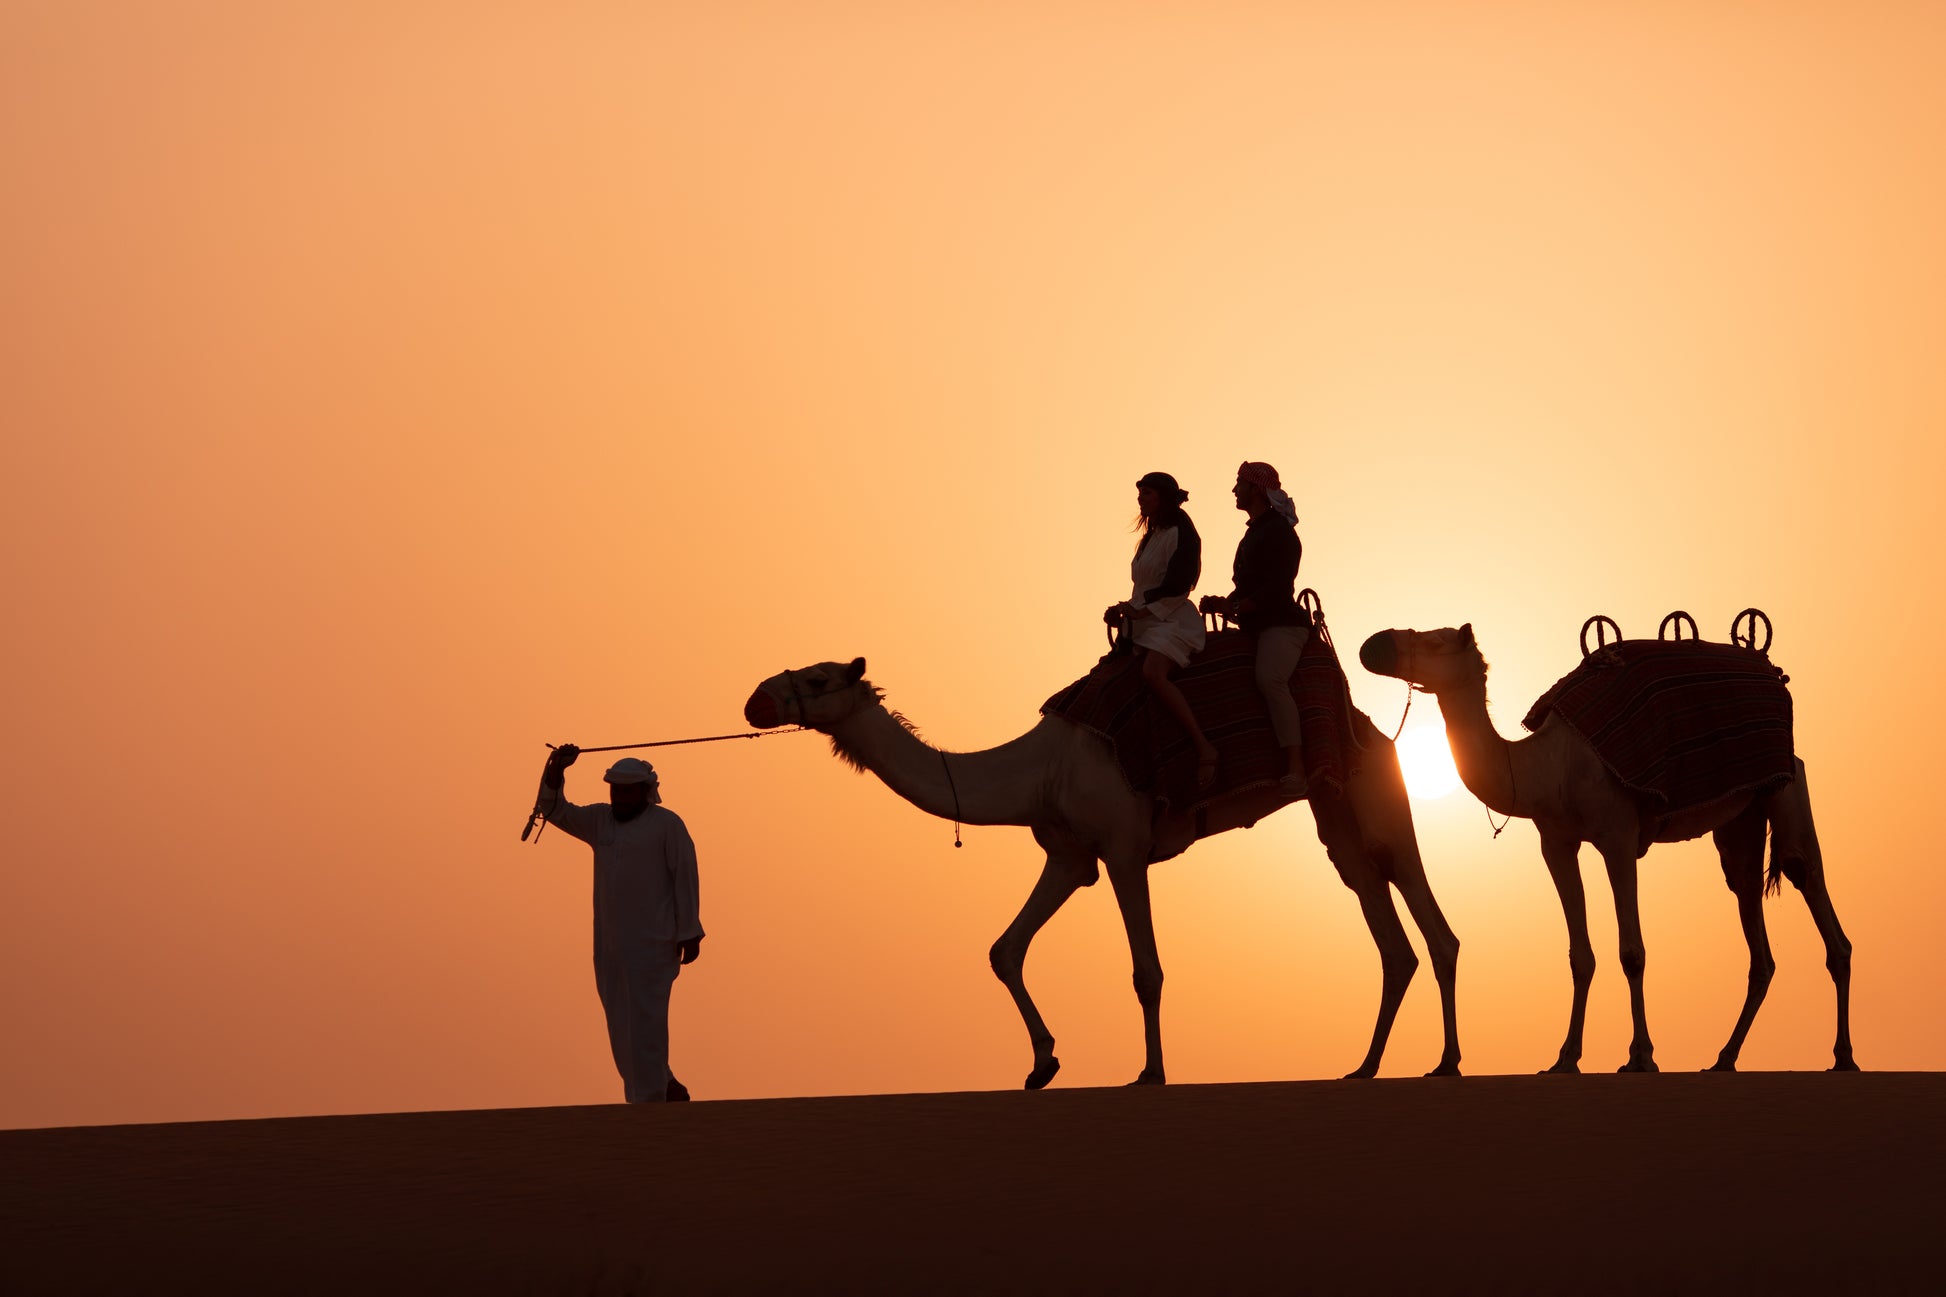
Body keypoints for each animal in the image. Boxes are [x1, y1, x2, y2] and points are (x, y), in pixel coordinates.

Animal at [743, 650, 1463, 1082]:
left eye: (818, 678)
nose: (756, 700)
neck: (1039, 769)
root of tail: (1374, 728)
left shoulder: (1123, 847)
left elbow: (1147, 970)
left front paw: (1150, 1072)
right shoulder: (1068, 856)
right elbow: (1005, 949)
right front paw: (1042, 1064)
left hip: (1377, 798)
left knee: (1431, 922)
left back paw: (1446, 1061)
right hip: (1335, 814)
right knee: (1392, 933)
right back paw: (1367, 1065)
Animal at [1354, 623, 1852, 1067]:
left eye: (1434, 641)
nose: (1373, 646)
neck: (1546, 767)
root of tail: (1773, 674)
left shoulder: (1618, 836)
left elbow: (1632, 952)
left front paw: (1641, 1057)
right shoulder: (1556, 843)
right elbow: (1580, 956)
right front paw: (1565, 1058)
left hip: (1786, 781)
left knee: (1806, 876)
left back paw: (1843, 1055)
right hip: (1742, 814)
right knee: (1749, 902)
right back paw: (1724, 1058)